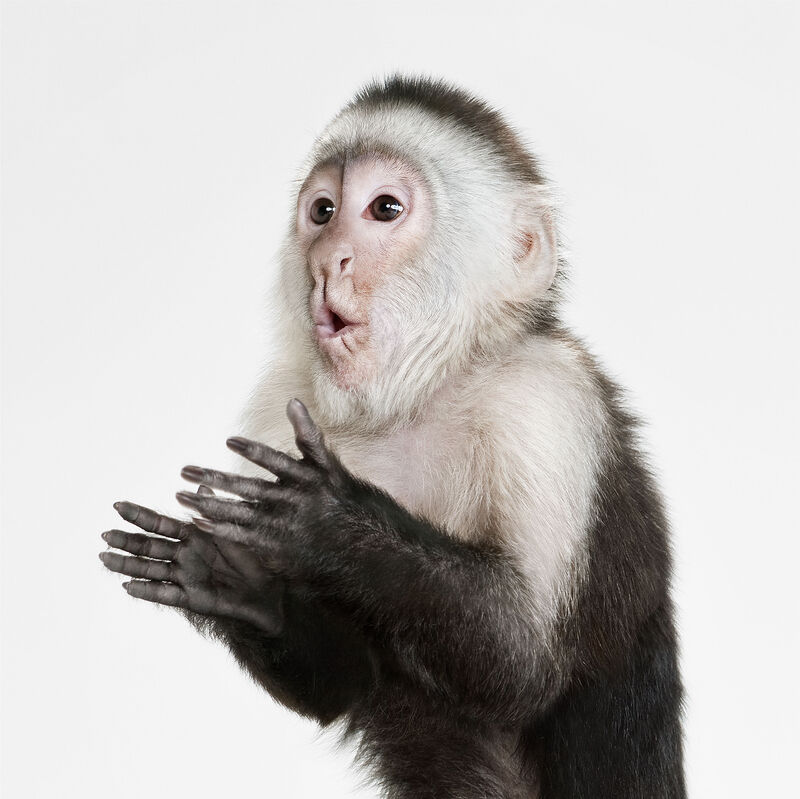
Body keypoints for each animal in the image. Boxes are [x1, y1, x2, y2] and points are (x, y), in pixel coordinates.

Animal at [100, 76, 686, 798]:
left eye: (384, 209)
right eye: (322, 211)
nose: (329, 259)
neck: (415, 399)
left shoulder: (544, 402)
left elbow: (524, 660)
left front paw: (332, 522)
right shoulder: (276, 409)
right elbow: (341, 682)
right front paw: (229, 579)